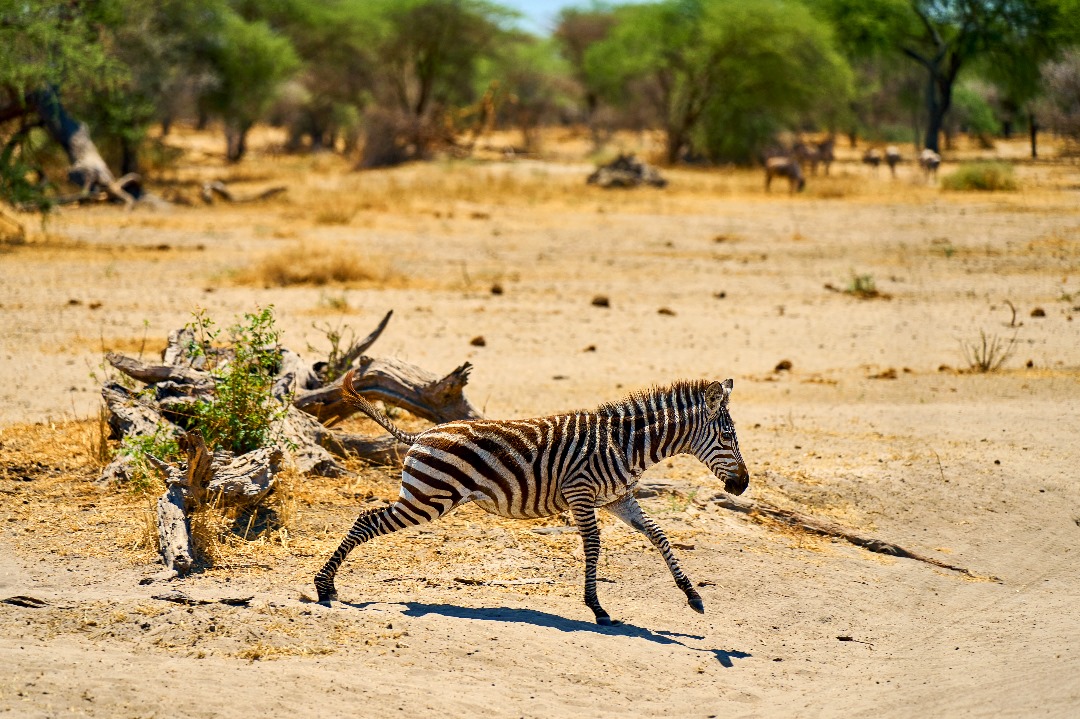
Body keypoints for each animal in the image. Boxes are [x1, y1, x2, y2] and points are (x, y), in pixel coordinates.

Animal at [315, 371, 751, 626]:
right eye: (727, 437)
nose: (744, 486)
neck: (626, 445)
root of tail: (420, 434)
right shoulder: (581, 491)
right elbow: (593, 546)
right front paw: (597, 608)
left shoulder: (618, 498)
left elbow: (659, 535)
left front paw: (693, 596)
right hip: (430, 497)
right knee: (366, 520)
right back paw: (324, 587)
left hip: (428, 495)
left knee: (368, 519)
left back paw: (329, 586)